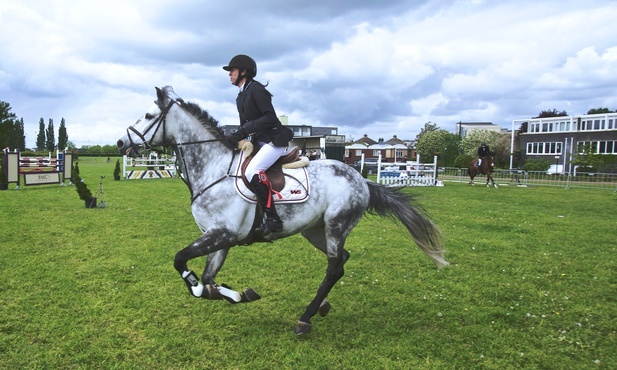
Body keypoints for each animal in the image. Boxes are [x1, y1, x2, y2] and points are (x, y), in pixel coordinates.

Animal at [116, 86, 448, 336]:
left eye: (148, 116)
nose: (120, 142)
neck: (213, 169)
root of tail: (361, 179)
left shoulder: (222, 234)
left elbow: (182, 262)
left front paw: (221, 290)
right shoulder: (220, 238)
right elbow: (208, 282)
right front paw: (239, 294)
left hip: (336, 225)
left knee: (334, 267)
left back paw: (305, 318)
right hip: (315, 230)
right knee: (341, 260)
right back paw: (321, 307)